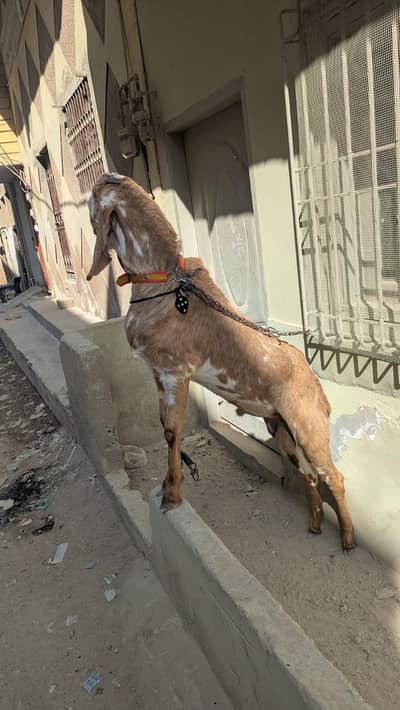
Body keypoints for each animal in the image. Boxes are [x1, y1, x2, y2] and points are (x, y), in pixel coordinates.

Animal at [87, 173, 355, 551]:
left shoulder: (175, 373)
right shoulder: (157, 374)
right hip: (282, 431)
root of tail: (316, 384)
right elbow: (163, 426)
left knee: (333, 475)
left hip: (308, 425)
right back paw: (316, 522)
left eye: (97, 195)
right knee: (307, 473)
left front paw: (172, 495)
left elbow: (171, 432)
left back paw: (347, 537)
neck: (165, 282)